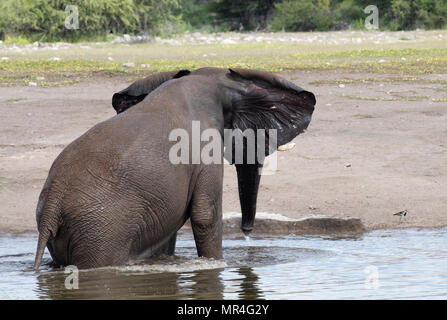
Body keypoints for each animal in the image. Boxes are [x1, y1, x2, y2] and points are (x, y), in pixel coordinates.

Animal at [33, 68, 316, 270]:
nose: (246, 232)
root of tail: (53, 204)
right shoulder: (205, 150)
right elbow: (205, 216)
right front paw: (216, 265)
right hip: (101, 230)